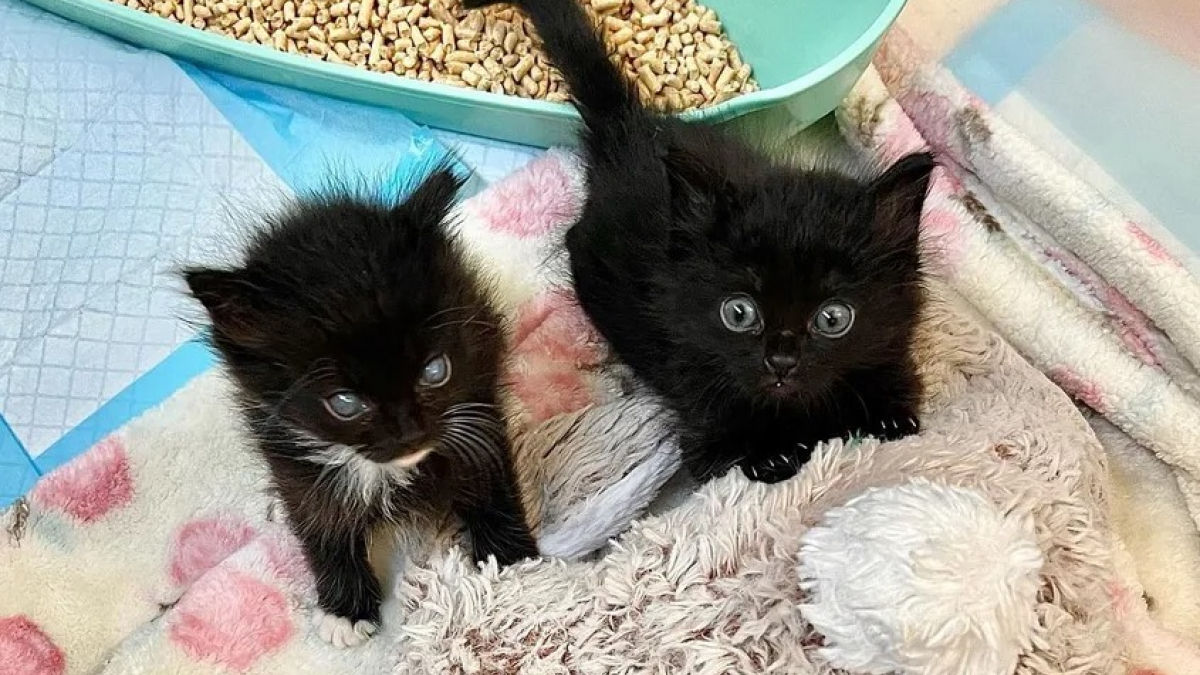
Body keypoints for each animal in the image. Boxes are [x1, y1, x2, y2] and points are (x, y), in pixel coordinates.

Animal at [181, 166, 535, 648]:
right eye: (345, 403)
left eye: (435, 370)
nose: (409, 432)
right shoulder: (288, 456)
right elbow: (318, 520)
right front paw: (345, 609)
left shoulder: (476, 400)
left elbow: (489, 477)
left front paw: (510, 561)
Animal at [463, 0, 931, 482]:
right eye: (739, 313)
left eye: (834, 318)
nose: (781, 361)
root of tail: (630, 127)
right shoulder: (700, 418)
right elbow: (731, 450)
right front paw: (774, 453)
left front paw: (886, 415)